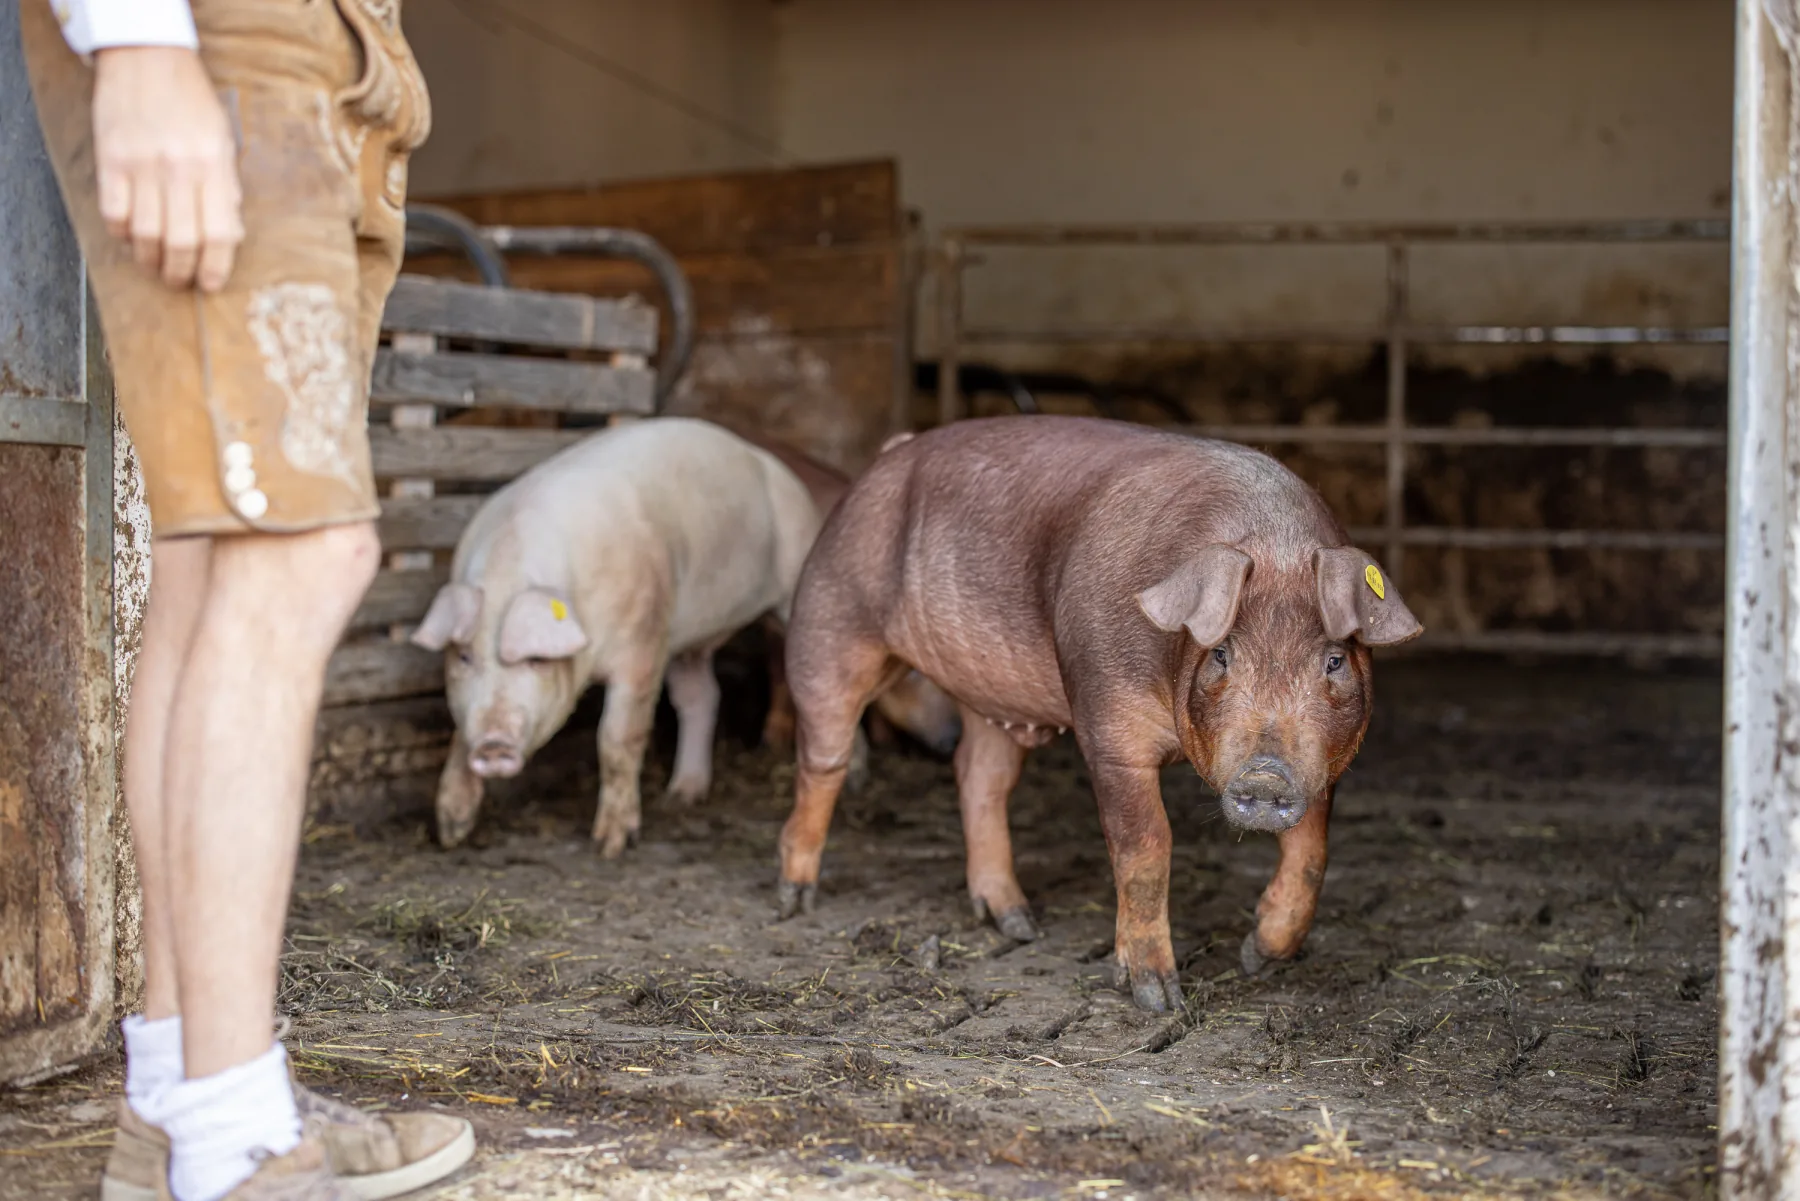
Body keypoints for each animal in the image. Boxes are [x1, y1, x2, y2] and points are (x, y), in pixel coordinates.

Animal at [412, 417, 821, 855]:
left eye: (536, 660)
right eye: (464, 657)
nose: (492, 745)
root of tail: (778, 469)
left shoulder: (642, 644)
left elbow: (617, 739)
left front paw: (610, 845)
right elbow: (458, 731)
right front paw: (451, 832)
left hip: (786, 582)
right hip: (683, 640)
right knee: (702, 696)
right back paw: (682, 795)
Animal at [775, 416, 1421, 1012]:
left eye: (1333, 660)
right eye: (1221, 653)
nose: (1265, 776)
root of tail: (890, 453)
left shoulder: (1326, 764)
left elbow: (1313, 852)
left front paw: (1256, 959)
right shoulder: (1107, 725)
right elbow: (1145, 846)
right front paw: (1158, 998)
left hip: (987, 699)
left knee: (978, 778)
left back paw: (1018, 922)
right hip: (829, 619)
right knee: (824, 759)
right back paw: (794, 898)